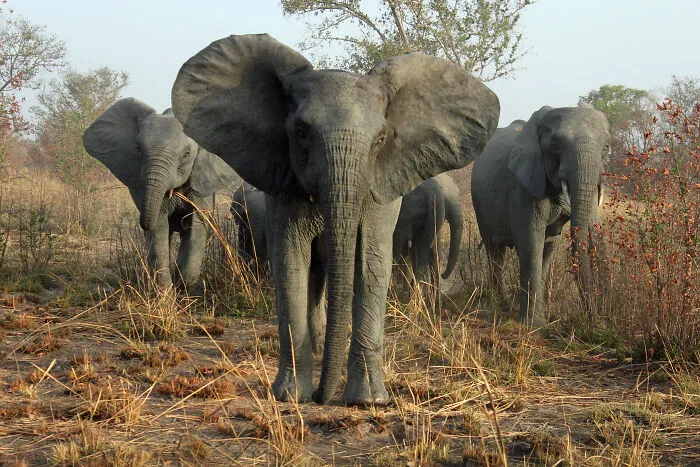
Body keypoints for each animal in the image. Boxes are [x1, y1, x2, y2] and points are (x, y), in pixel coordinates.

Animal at [83, 98, 237, 290]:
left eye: (187, 154)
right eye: (138, 148)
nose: (143, 224)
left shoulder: (201, 182)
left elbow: (197, 227)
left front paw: (181, 284)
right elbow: (159, 233)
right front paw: (166, 293)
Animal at [171, 34, 499, 405]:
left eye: (381, 140)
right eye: (300, 133)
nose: (321, 398)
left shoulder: (380, 188)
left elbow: (371, 261)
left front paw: (368, 401)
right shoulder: (282, 181)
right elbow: (290, 262)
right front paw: (290, 396)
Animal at [471, 105, 610, 327]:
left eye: (606, 147)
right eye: (555, 145)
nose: (597, 321)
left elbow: (551, 243)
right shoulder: (523, 184)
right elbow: (531, 240)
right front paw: (534, 325)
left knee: (545, 247)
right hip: (479, 202)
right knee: (495, 250)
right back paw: (500, 306)